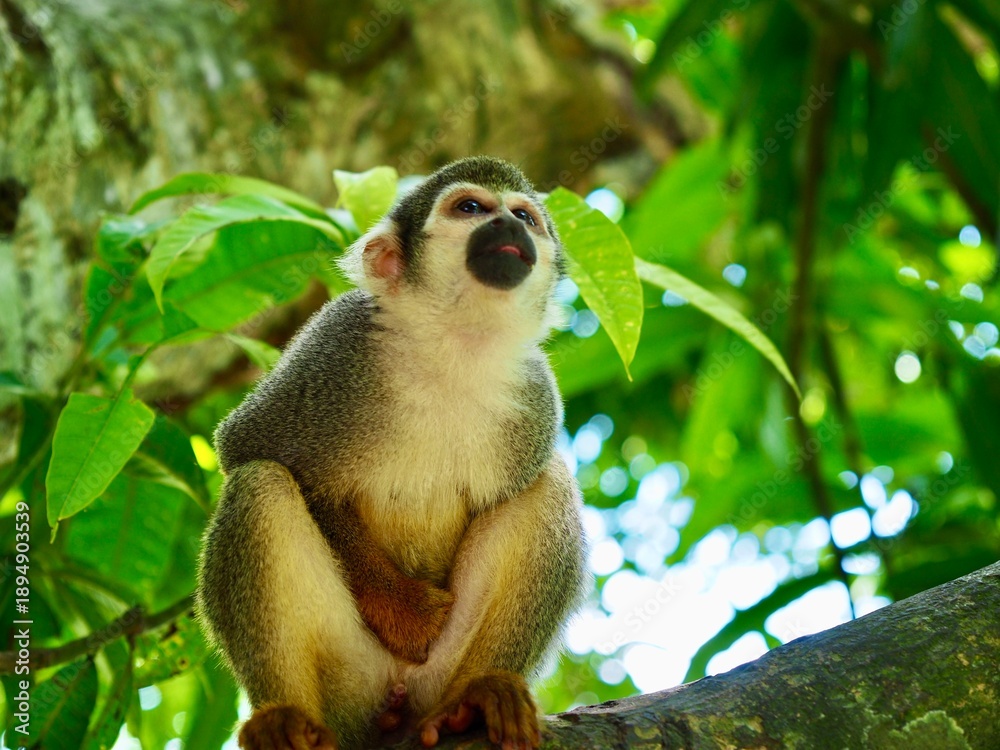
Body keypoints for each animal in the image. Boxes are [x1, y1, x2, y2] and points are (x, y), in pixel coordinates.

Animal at [196, 156, 588, 750]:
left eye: (525, 217)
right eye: (469, 207)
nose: (509, 226)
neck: (452, 347)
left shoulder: (539, 396)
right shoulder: (337, 344)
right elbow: (252, 446)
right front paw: (404, 611)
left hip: (437, 677)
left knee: (550, 483)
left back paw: (479, 696)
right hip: (349, 680)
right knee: (260, 483)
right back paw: (283, 715)